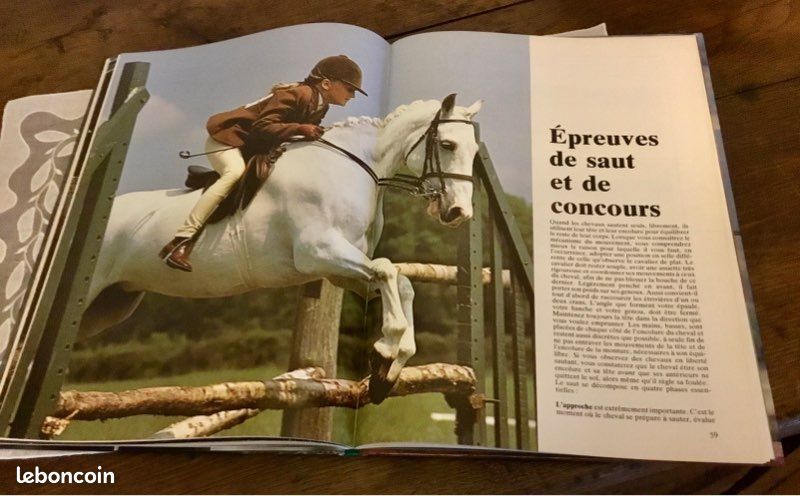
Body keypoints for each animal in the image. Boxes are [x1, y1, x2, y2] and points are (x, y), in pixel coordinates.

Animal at [80, 94, 483, 403]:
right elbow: (387, 268)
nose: (459, 213)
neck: (355, 167)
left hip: (111, 304)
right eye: (447, 145)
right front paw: (384, 352)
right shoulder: (318, 253)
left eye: (475, 149)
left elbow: (400, 282)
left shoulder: (338, 269)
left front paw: (387, 370)